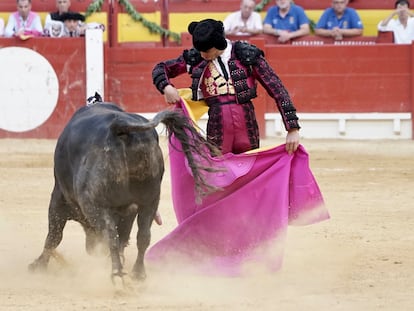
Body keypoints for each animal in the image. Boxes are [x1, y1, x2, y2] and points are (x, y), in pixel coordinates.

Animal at [27, 100, 218, 282]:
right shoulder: (130, 208)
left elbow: (54, 236)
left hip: (97, 205)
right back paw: (137, 273)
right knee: (142, 236)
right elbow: (125, 237)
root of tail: (120, 127)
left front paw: (38, 266)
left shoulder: (59, 198)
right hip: (150, 200)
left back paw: (117, 274)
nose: (91, 249)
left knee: (110, 236)